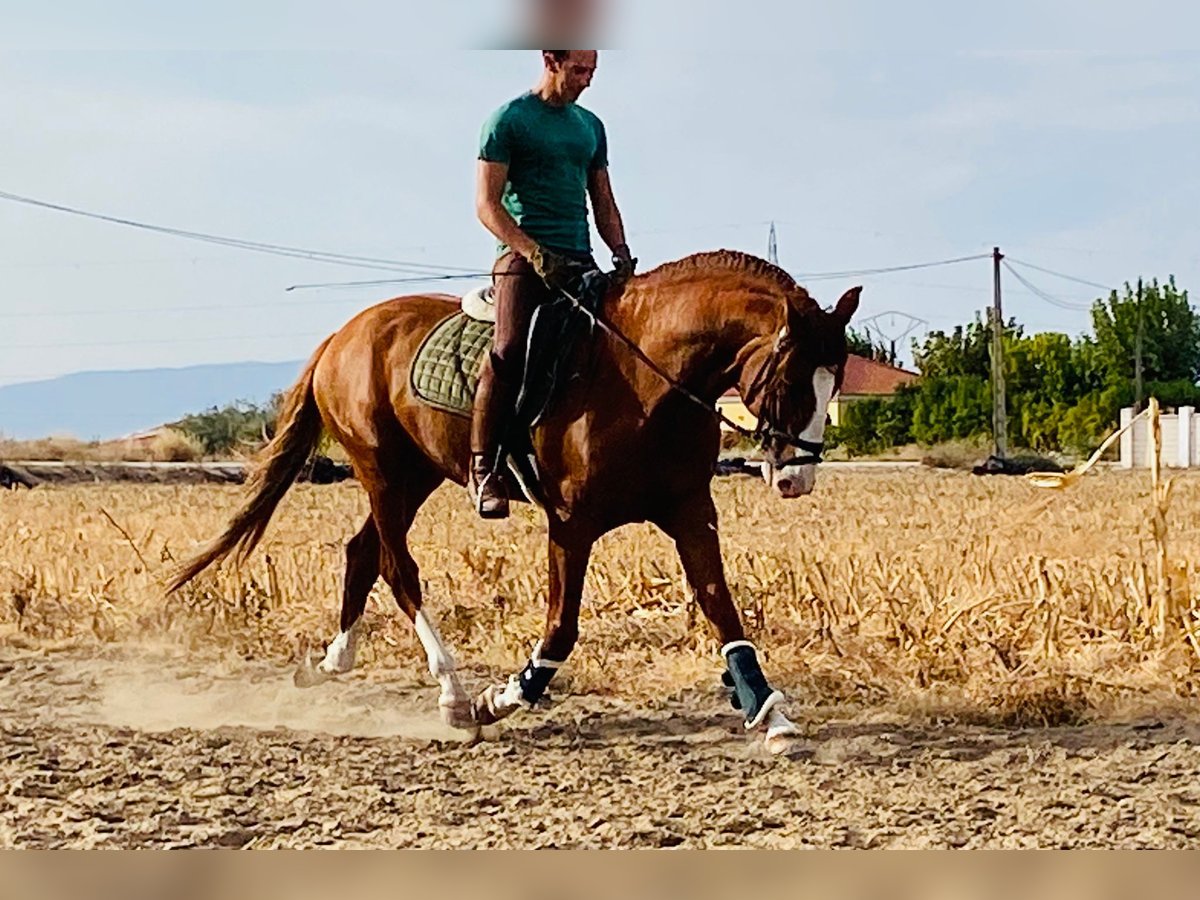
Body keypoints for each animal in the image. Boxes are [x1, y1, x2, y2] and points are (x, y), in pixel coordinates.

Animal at [171, 248, 864, 753]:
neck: (648, 381)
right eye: (792, 380)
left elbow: (724, 612)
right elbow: (561, 628)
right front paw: (499, 700)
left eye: (836, 381)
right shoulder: (571, 524)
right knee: (398, 568)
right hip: (383, 471)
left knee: (362, 551)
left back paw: (334, 661)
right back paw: (454, 696)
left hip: (416, 474)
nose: (797, 478)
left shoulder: (692, 513)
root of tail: (343, 334)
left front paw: (770, 715)